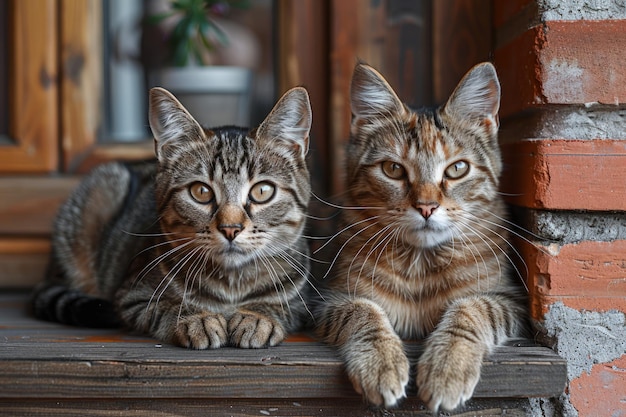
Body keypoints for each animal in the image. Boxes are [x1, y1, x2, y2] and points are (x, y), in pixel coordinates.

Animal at [30, 85, 312, 348]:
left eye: (262, 191)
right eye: (201, 192)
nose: (230, 228)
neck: (232, 285)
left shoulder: (301, 304)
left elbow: (278, 306)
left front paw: (256, 317)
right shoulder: (132, 297)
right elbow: (167, 306)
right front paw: (198, 318)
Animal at [314, 63, 524, 412]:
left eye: (457, 169)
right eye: (393, 169)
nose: (426, 207)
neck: (421, 263)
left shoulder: (508, 299)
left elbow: (470, 309)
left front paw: (448, 367)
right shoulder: (330, 298)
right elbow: (364, 313)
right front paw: (381, 363)